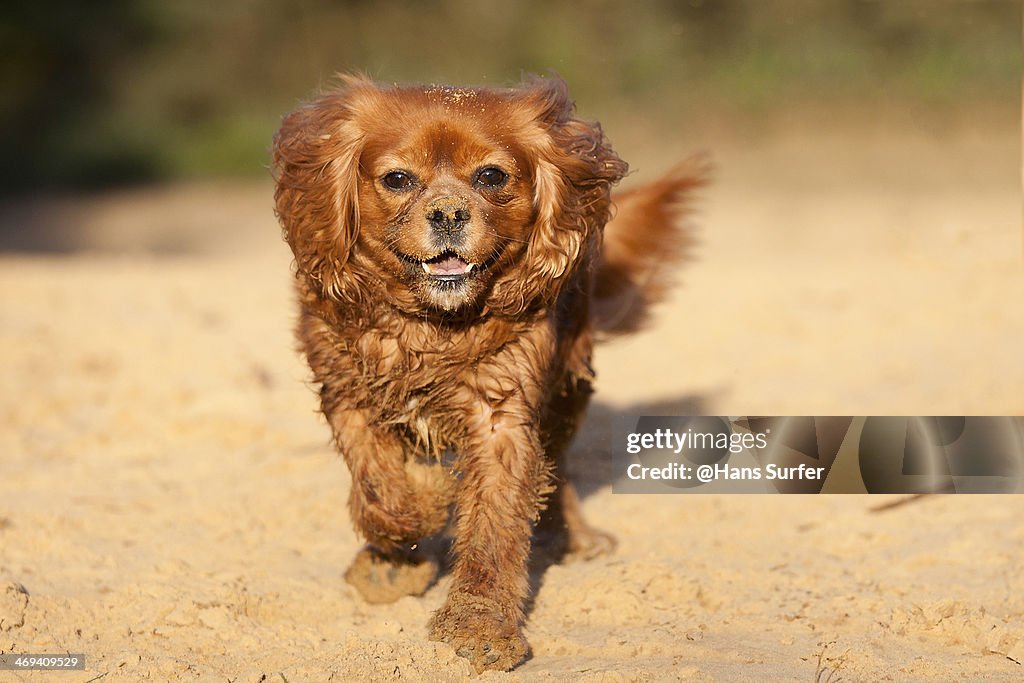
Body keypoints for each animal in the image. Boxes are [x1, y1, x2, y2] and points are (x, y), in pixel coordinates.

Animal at [270, 72, 704, 671]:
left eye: (491, 176)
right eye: (398, 179)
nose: (449, 213)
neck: (432, 324)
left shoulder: (500, 417)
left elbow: (494, 527)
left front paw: (478, 625)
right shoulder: (345, 392)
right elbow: (380, 489)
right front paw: (413, 524)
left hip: (568, 390)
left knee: (556, 468)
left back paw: (571, 537)